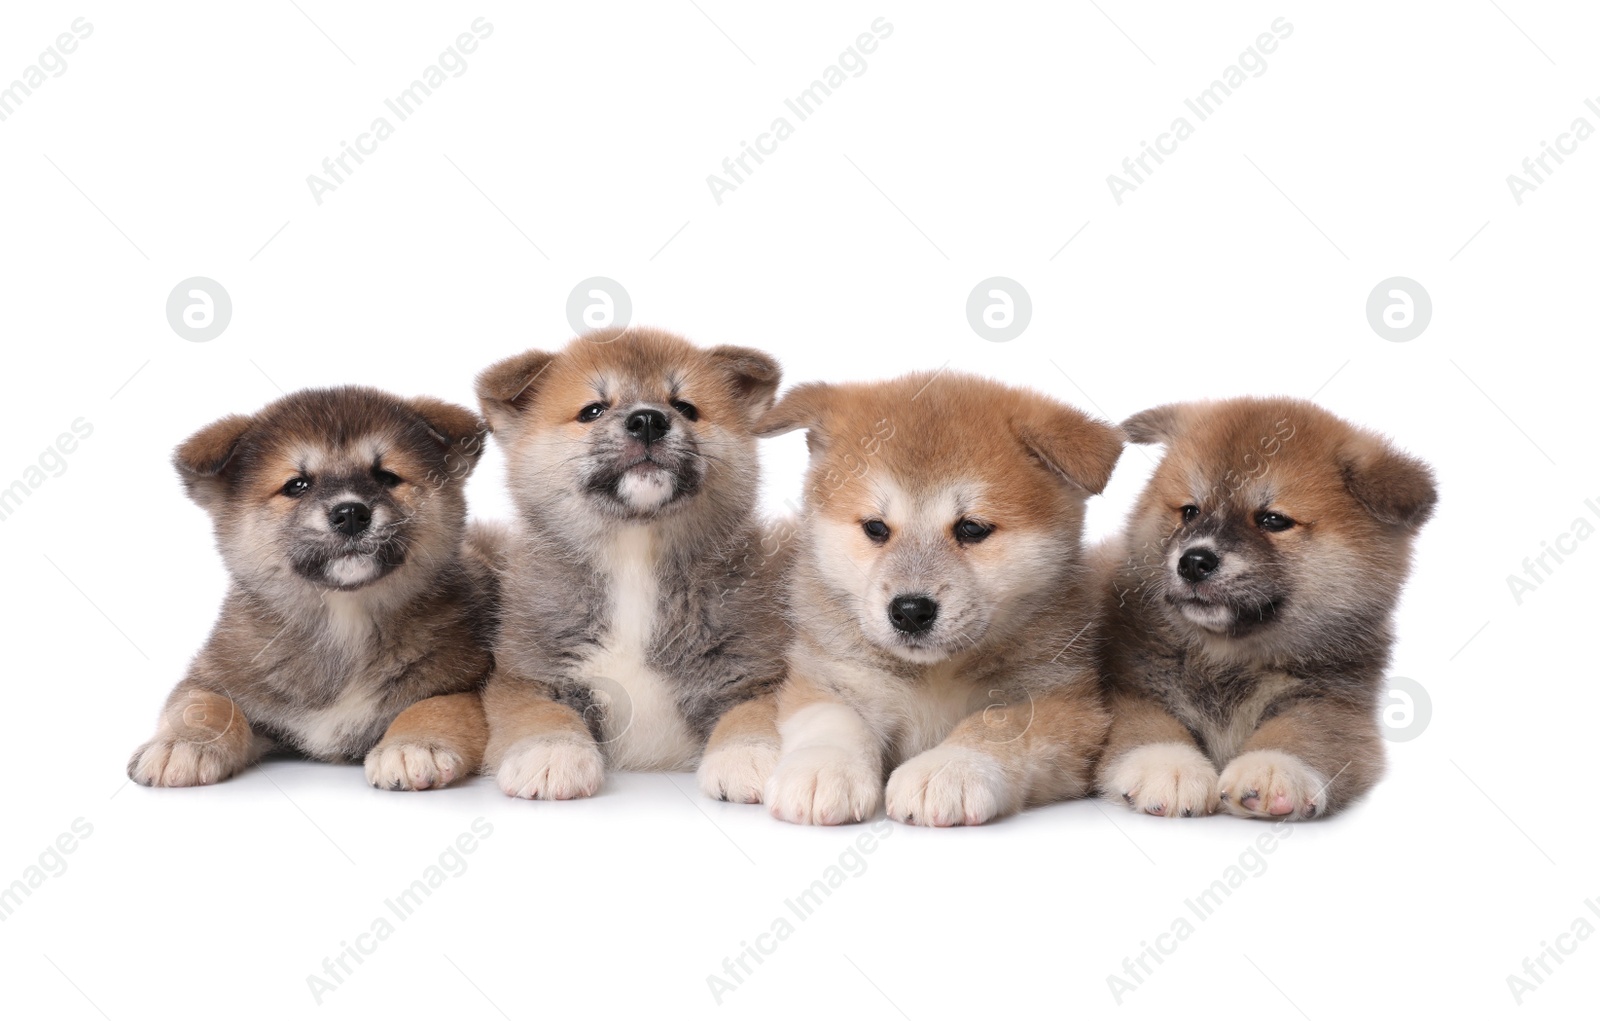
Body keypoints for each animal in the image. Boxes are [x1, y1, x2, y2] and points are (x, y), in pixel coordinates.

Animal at [128, 385, 496, 793]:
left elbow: (437, 705)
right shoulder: (215, 676)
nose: (350, 513)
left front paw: (413, 746)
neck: (345, 619)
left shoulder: (468, 683)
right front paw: (183, 744)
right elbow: (204, 704)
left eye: (386, 477)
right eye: (297, 485)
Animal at [473, 326, 793, 800]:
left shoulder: (752, 670)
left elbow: (752, 714)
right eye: (593, 410)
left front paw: (747, 757)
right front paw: (550, 754)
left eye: (685, 407)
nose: (647, 420)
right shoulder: (528, 672)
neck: (634, 557)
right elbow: (540, 715)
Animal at [752, 371, 1120, 825]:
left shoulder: (1065, 702)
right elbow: (833, 718)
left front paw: (949, 768)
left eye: (972, 529)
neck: (934, 676)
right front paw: (823, 767)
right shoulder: (830, 675)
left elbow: (995, 723)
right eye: (875, 527)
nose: (910, 611)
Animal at [1100, 400, 1440, 825]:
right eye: (1190, 511)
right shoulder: (1129, 691)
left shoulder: (1336, 707)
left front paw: (1273, 767)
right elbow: (1148, 725)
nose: (1193, 561)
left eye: (1273, 520)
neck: (1227, 659)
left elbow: (1304, 732)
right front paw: (1169, 767)